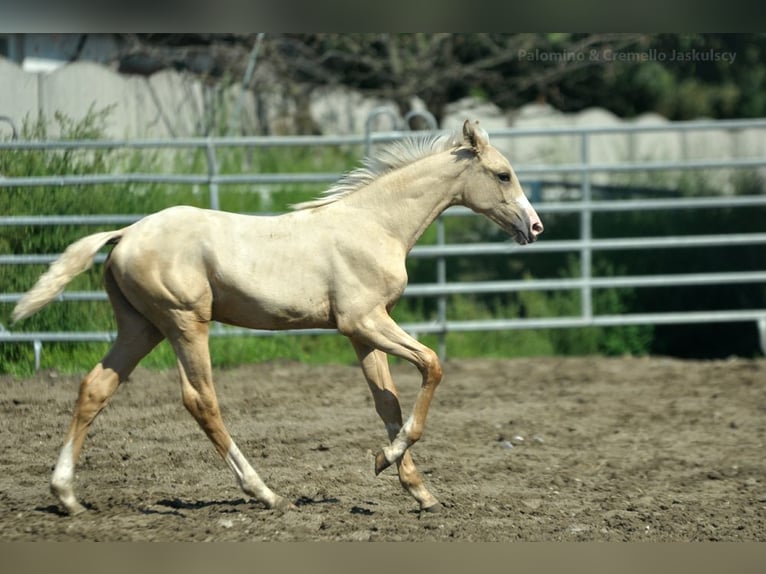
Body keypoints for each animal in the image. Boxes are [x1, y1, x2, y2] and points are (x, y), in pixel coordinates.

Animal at [10, 119, 540, 516]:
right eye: (502, 174)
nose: (534, 227)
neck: (373, 224)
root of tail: (125, 234)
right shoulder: (363, 322)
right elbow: (432, 363)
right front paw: (389, 460)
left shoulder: (363, 333)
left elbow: (387, 402)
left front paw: (412, 486)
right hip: (184, 322)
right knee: (200, 400)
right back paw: (265, 493)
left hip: (142, 328)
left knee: (95, 387)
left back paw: (67, 496)